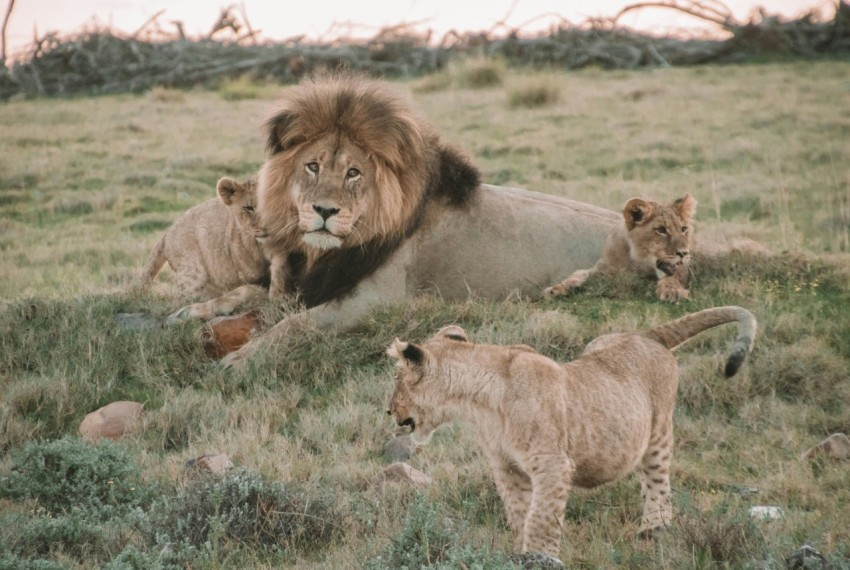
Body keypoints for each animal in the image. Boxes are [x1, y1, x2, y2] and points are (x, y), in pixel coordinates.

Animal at [218, 72, 619, 369]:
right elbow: (250, 296)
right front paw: (208, 311)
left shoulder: (378, 299)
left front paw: (240, 359)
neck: (329, 251)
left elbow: (295, 324)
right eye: (312, 166)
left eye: (353, 172)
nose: (325, 211)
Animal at [387, 306, 757, 563]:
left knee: (657, 482)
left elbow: (541, 517)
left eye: (396, 380)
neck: (481, 404)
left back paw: (653, 530)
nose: (389, 411)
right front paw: (521, 553)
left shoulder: (552, 463)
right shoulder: (506, 467)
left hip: (659, 432)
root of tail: (647, 335)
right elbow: (520, 513)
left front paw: (540, 557)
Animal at [544, 194, 697, 303]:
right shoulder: (601, 269)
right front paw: (556, 289)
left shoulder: (682, 273)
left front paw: (673, 292)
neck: (634, 261)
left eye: (684, 229)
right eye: (661, 230)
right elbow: (579, 273)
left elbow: (672, 278)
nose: (684, 253)